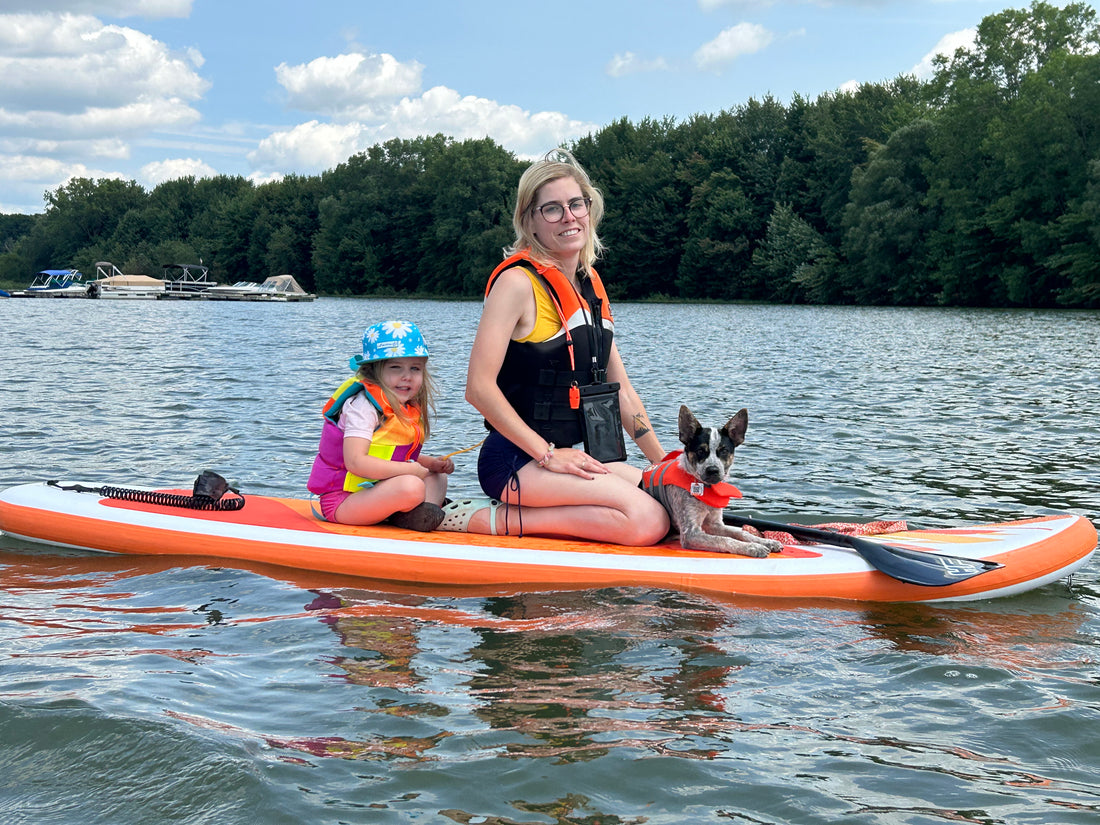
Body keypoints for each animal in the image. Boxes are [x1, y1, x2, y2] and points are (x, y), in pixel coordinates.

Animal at [642, 407, 787, 563]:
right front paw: (753, 547)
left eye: (724, 451)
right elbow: (723, 539)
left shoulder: (714, 524)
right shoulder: (690, 533)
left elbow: (741, 533)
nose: (712, 470)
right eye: (700, 451)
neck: (706, 488)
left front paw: (766, 541)